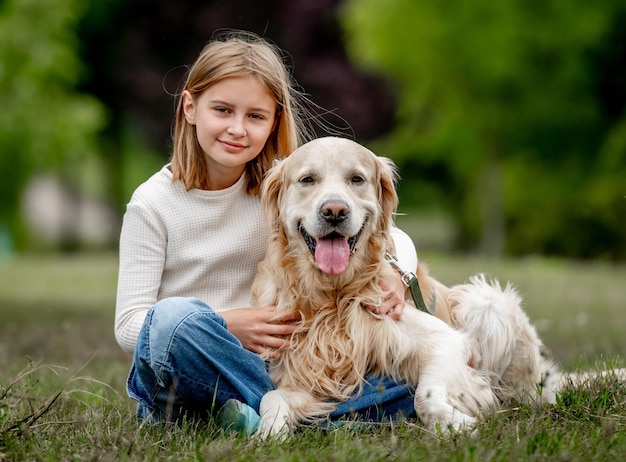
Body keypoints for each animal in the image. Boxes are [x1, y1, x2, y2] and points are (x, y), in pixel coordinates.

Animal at [251, 136, 560, 436]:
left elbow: (425, 394)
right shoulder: (303, 373)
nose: (335, 211)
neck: (332, 296)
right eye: (307, 180)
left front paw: (455, 424)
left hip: (484, 302)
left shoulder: (446, 339)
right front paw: (269, 434)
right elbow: (272, 397)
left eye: (356, 179)